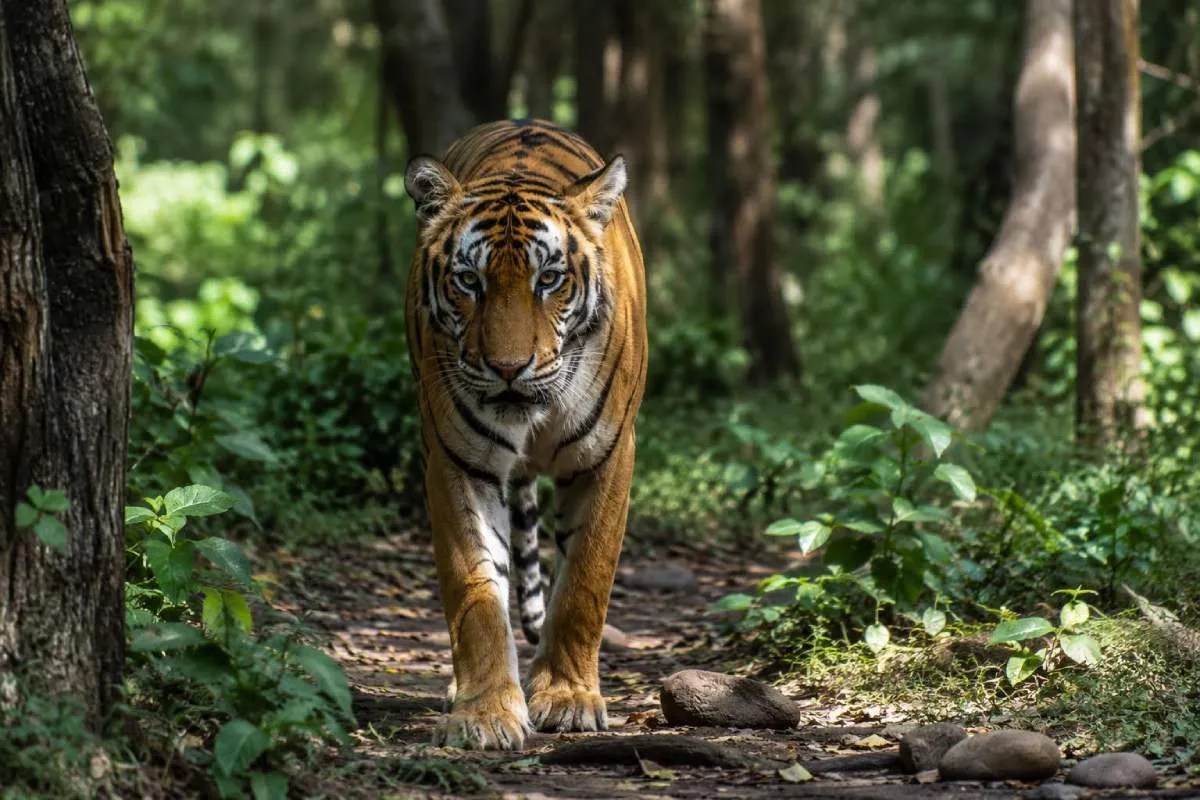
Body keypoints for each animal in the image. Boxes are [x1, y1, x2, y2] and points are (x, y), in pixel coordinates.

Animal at [403, 119, 647, 750]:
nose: (508, 368)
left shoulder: (608, 457)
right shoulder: (458, 463)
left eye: (550, 280)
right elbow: (476, 594)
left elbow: (583, 584)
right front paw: (486, 713)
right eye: (469, 281)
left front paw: (567, 697)